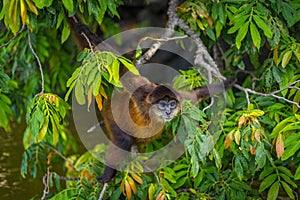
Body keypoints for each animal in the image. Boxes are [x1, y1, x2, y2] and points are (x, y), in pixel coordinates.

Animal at [66, 16, 237, 184]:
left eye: (172, 105)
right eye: (162, 105)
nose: (168, 111)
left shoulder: (179, 98)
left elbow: (196, 93)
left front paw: (231, 81)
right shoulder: (142, 94)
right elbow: (122, 69)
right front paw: (84, 29)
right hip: (111, 117)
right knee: (123, 139)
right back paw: (109, 173)